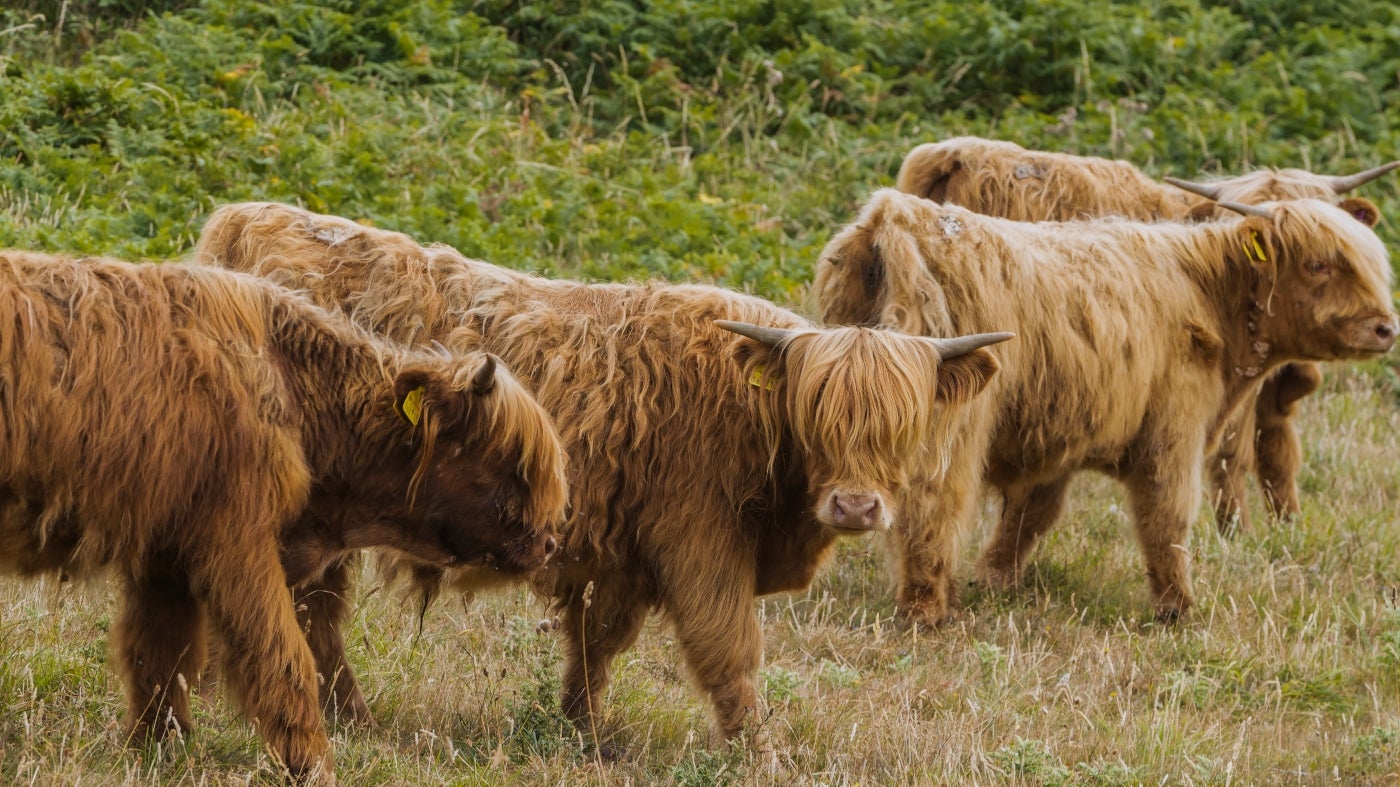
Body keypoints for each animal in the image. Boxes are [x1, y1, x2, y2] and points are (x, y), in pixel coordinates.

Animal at [0, 250, 569, 783]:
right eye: (512, 463)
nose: (548, 545)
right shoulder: (239, 546)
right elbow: (284, 661)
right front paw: (314, 768)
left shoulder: (166, 557)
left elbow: (160, 659)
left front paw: (158, 750)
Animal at [192, 201, 1012, 751]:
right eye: (819, 418)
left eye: (902, 424)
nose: (854, 505)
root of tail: (249, 220)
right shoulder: (700, 544)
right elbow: (731, 649)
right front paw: (756, 749)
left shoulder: (627, 557)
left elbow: (598, 645)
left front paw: (580, 727)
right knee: (308, 613)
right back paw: (334, 715)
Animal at [813, 189, 1397, 627]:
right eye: (1318, 264)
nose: (1385, 328)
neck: (1209, 295)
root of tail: (896, 215)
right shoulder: (1173, 431)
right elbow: (1167, 516)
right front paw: (1177, 609)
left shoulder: (1058, 441)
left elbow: (1031, 515)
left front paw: (995, 580)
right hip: (951, 425)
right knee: (932, 505)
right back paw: (925, 610)